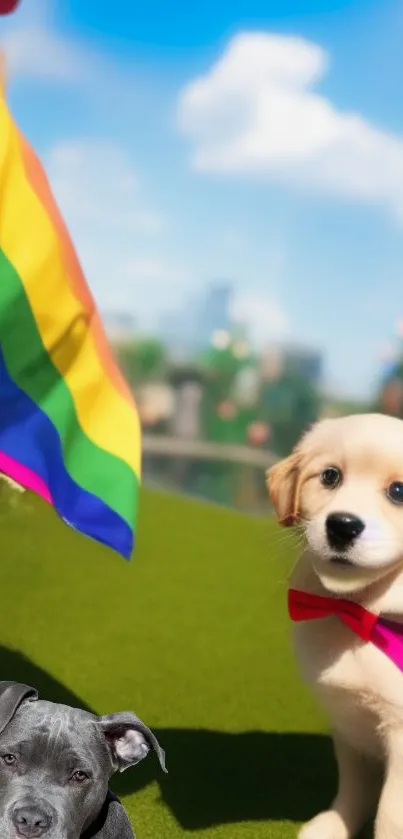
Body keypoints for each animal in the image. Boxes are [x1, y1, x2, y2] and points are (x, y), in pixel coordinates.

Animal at [266, 414, 403, 839]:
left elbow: (391, 812)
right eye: (330, 476)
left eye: (398, 491)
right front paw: (335, 826)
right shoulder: (349, 728)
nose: (342, 526)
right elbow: (355, 788)